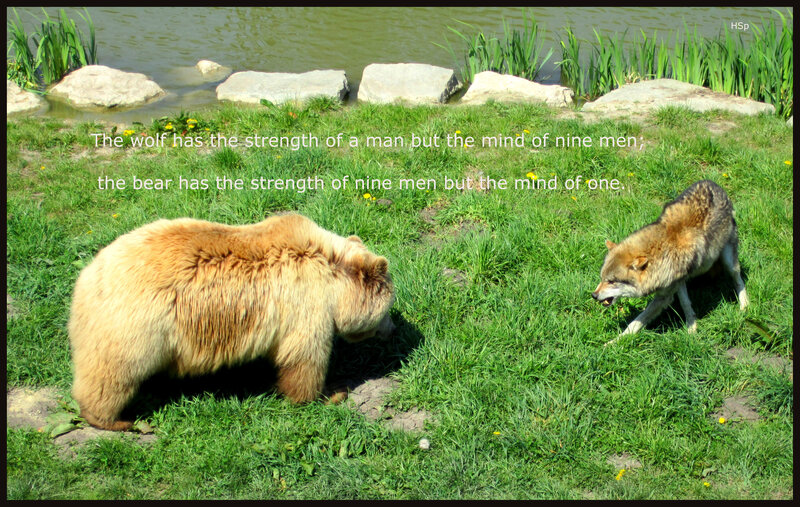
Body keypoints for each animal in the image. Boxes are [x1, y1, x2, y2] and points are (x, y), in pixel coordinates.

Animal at [68, 213, 395, 431]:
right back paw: (116, 420)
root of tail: (88, 275)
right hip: (135, 326)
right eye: (389, 306)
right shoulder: (305, 305)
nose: (392, 330)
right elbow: (304, 360)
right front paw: (330, 393)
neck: (333, 275)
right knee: (112, 375)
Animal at [592, 180, 749, 344]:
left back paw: (745, 306)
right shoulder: (677, 282)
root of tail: (713, 183)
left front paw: (613, 343)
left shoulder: (664, 295)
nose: (593, 295)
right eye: (602, 279)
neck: (661, 250)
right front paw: (692, 326)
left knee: (738, 280)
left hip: (729, 262)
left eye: (611, 281)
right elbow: (685, 303)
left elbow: (636, 321)